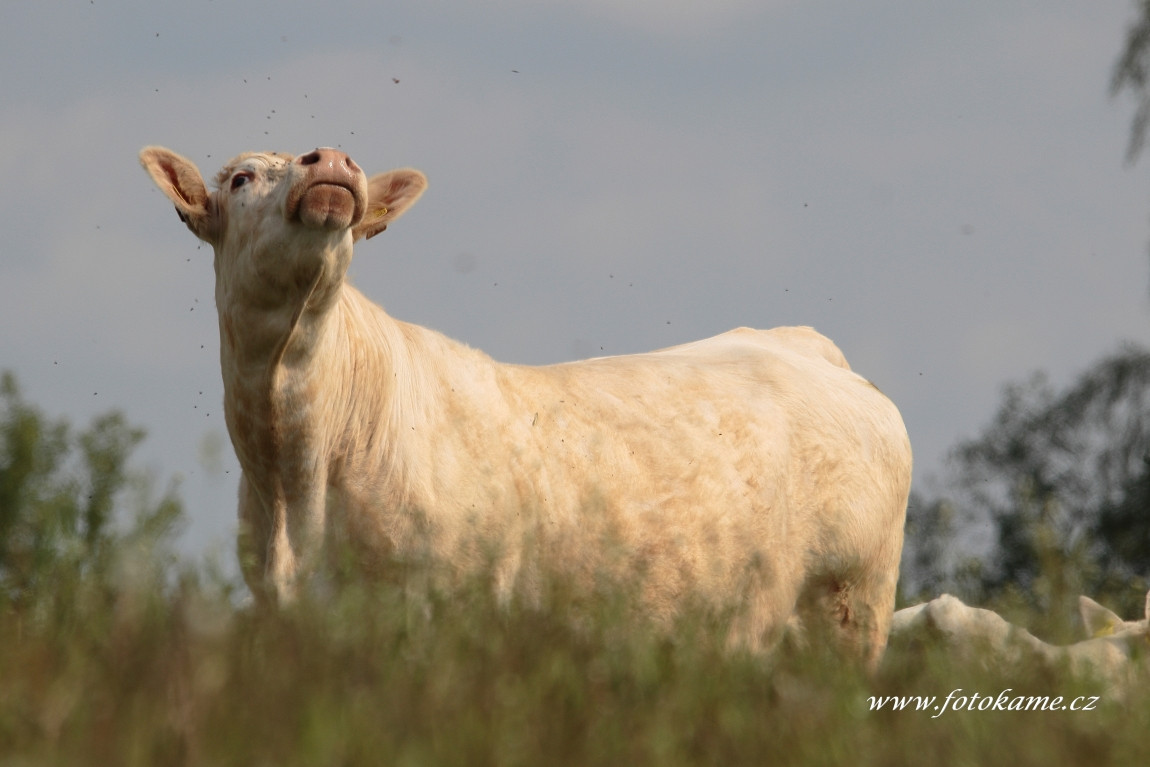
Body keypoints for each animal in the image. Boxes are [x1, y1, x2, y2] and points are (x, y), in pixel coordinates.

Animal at [139, 143, 910, 666]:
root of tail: (803, 344)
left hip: (849, 609)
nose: (329, 158)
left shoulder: (443, 610)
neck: (295, 470)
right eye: (241, 177)